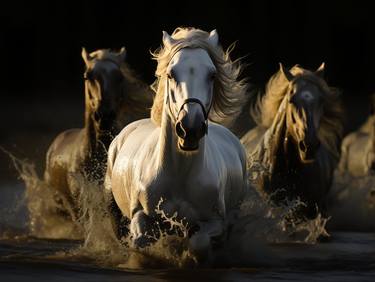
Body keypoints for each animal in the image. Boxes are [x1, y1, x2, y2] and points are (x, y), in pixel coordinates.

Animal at [105, 27, 250, 254]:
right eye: (171, 74)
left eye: (212, 75)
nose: (190, 128)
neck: (179, 173)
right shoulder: (140, 215)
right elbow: (140, 241)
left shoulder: (215, 221)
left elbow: (199, 242)